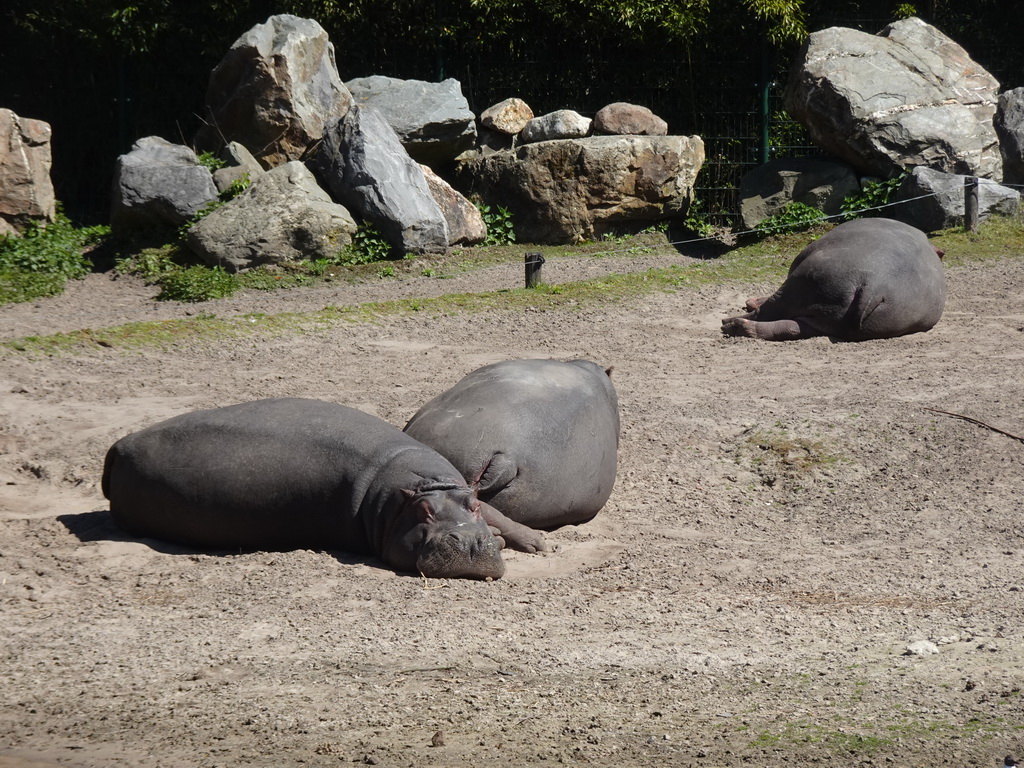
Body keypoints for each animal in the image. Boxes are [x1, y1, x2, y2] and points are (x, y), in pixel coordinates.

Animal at [102, 399, 548, 581]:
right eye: (423, 515)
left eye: (473, 505)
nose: (471, 542)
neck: (414, 489)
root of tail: (116, 448)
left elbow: (501, 513)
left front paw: (536, 542)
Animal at [720, 221, 942, 344]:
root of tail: (874, 287)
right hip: (827, 319)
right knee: (789, 327)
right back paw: (735, 326)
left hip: (805, 281)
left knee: (768, 311)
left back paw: (727, 323)